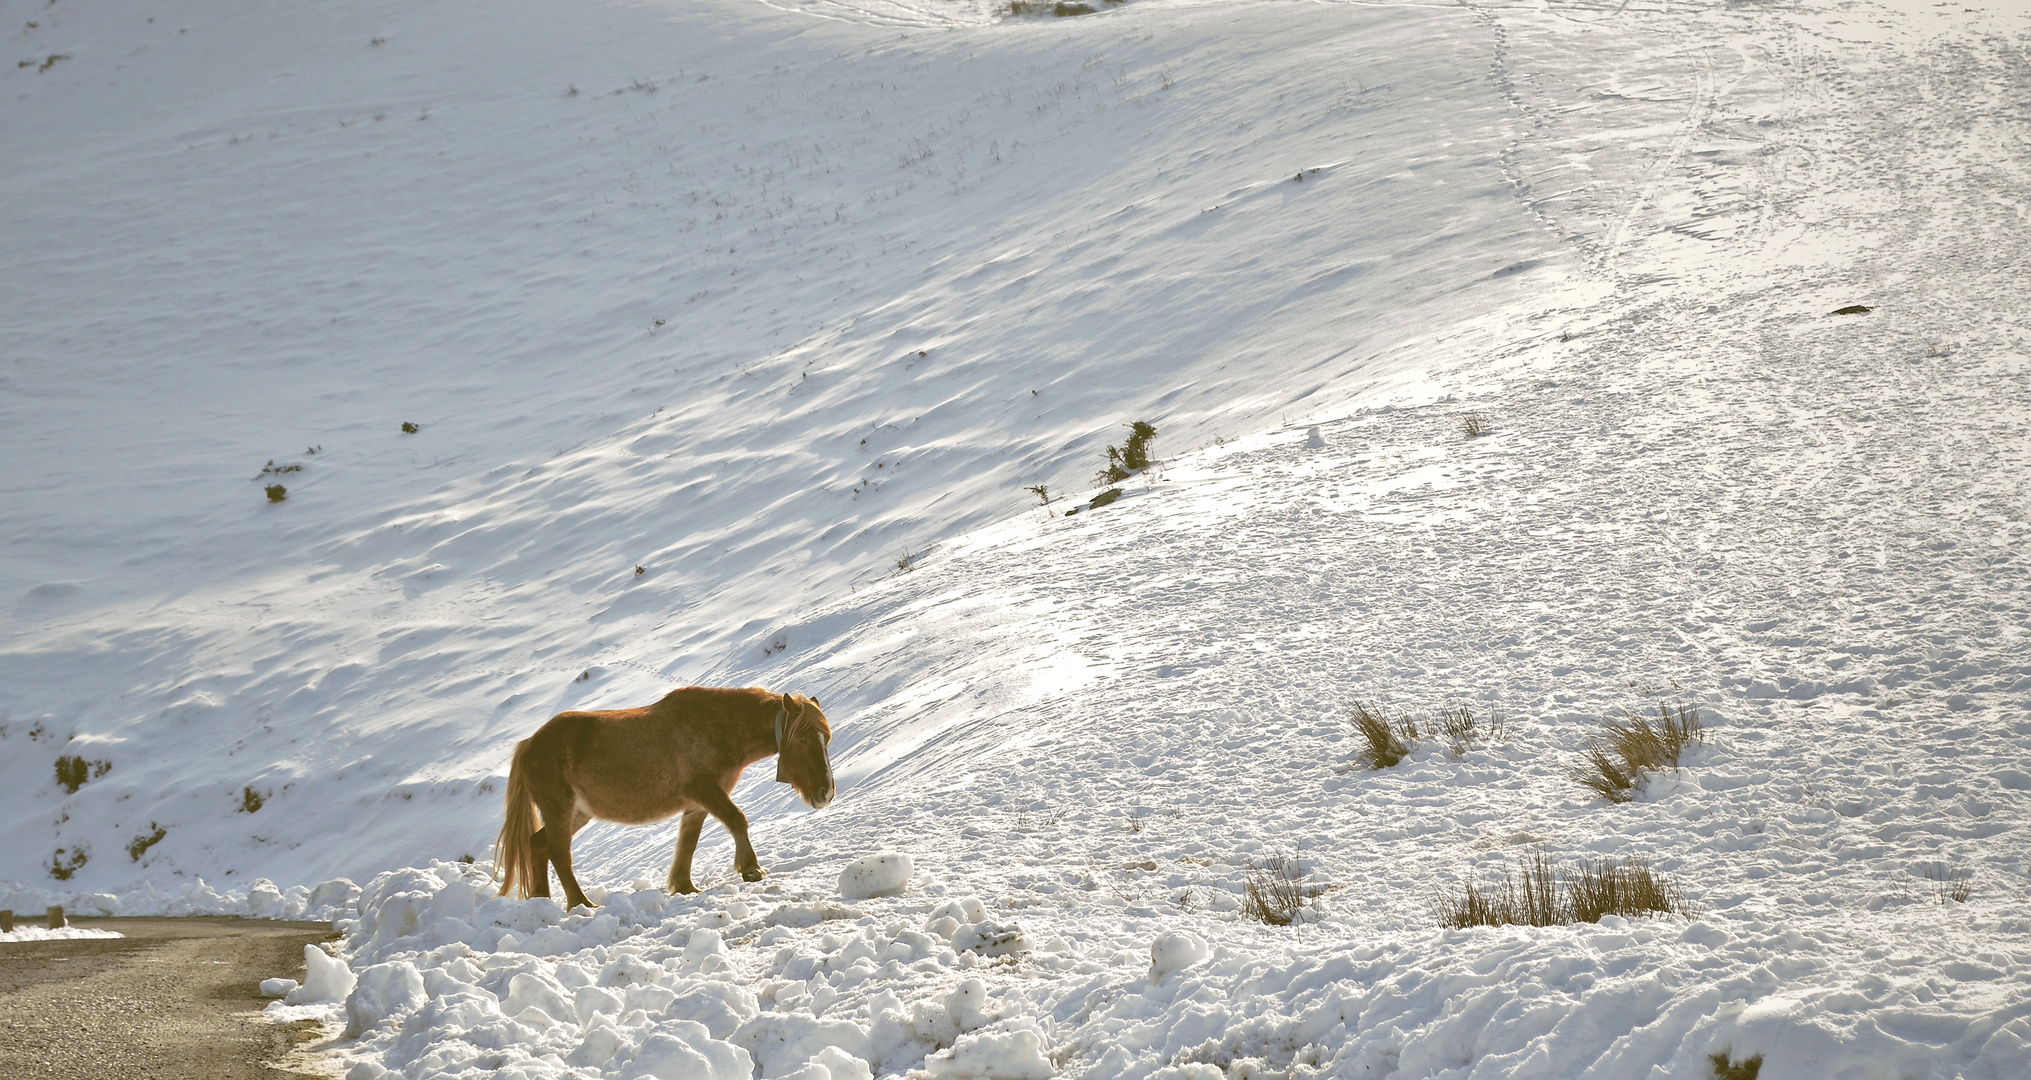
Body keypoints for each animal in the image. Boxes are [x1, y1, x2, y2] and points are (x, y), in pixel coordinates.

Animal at [491, 686, 832, 905]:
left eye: (826, 738)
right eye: (803, 740)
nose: (826, 792)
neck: (717, 726)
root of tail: (529, 745)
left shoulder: (697, 804)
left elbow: (688, 844)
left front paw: (684, 886)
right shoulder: (706, 791)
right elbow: (738, 820)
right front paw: (751, 869)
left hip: (578, 813)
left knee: (538, 845)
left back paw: (541, 900)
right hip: (560, 809)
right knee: (559, 853)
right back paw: (581, 904)